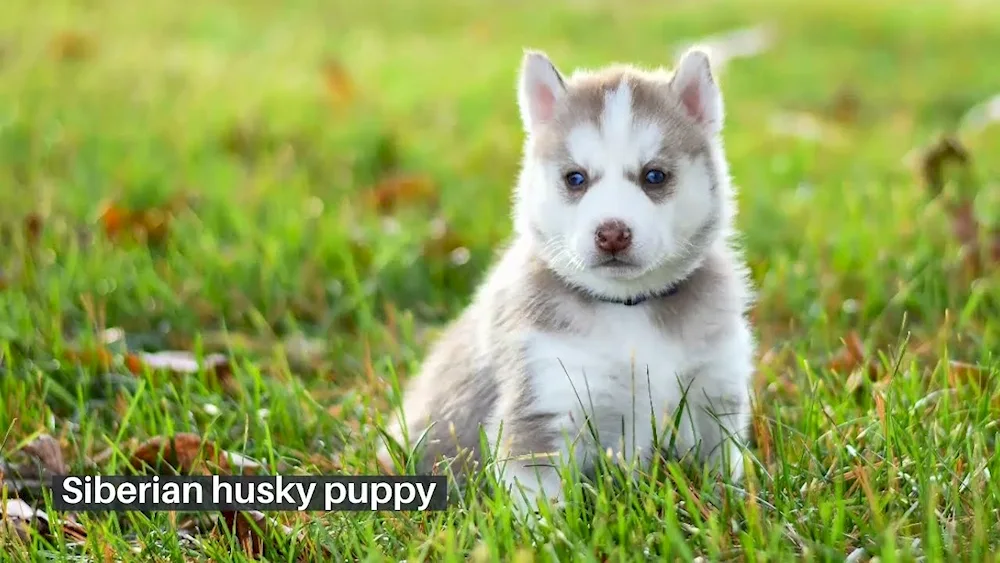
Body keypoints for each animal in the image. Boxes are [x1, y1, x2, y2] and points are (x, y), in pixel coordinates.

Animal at [378, 47, 752, 520]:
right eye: (576, 178)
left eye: (654, 176)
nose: (612, 232)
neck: (628, 308)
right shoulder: (543, 403)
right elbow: (541, 505)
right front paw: (549, 529)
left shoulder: (713, 392)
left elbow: (722, 470)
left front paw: (730, 509)